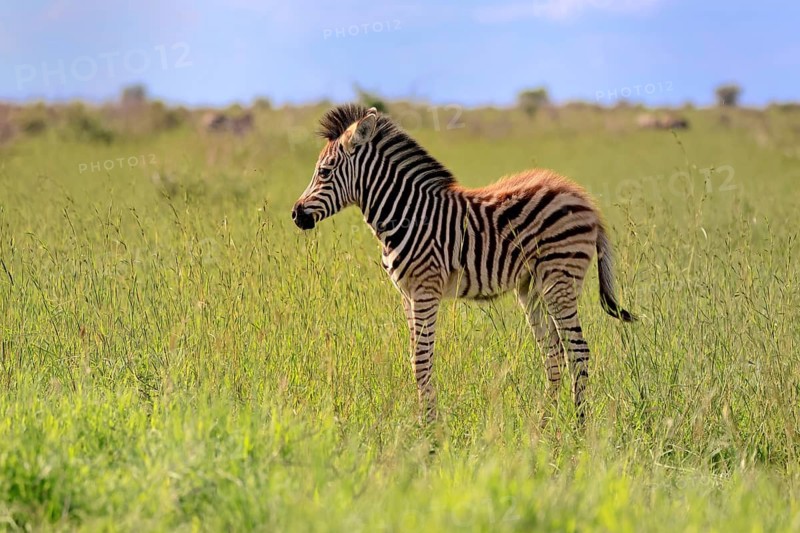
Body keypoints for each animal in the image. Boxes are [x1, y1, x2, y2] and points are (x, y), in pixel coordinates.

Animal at [292, 104, 635, 424]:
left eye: (324, 172)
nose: (296, 215)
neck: (406, 214)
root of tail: (585, 199)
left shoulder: (425, 289)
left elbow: (421, 360)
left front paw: (428, 428)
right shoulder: (406, 295)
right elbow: (415, 357)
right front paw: (424, 421)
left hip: (559, 280)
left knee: (578, 351)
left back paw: (580, 428)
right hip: (532, 288)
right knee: (553, 353)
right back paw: (545, 426)